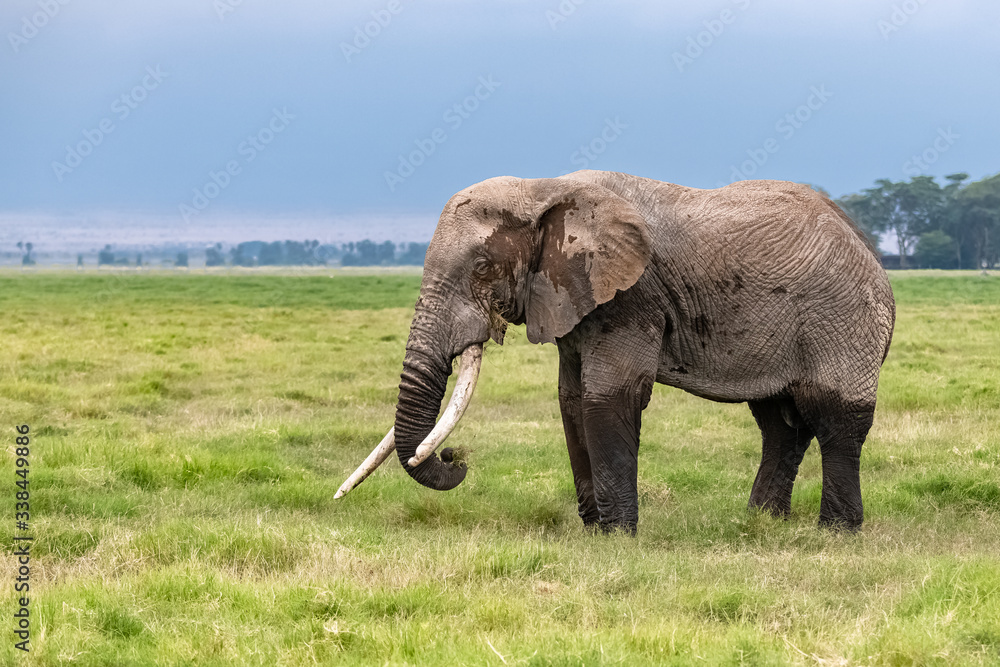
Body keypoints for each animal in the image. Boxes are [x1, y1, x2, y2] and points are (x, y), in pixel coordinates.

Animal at [337, 169, 895, 534]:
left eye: (481, 269)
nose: (455, 457)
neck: (544, 188)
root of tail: (871, 253)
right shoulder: (569, 295)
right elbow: (571, 401)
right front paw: (594, 531)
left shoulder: (632, 297)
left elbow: (608, 398)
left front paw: (619, 537)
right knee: (780, 421)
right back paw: (762, 523)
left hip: (842, 316)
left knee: (835, 417)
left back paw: (836, 532)